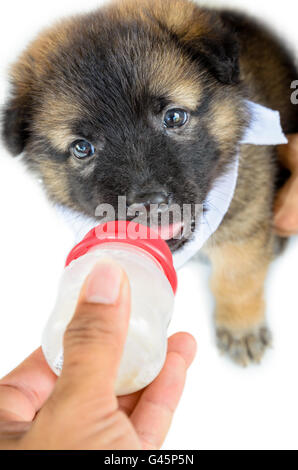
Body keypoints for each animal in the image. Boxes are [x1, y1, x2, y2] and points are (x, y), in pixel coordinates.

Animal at [2, 0, 298, 366]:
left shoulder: (245, 216)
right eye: (82, 148)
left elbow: (236, 277)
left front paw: (241, 328)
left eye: (174, 117)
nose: (148, 205)